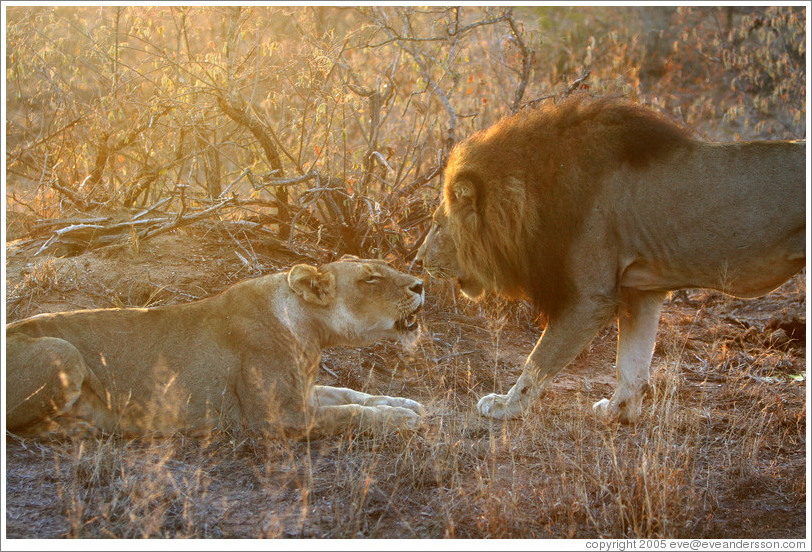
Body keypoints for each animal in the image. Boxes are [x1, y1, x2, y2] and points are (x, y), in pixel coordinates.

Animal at [6, 257, 426, 436]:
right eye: (370, 279)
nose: (421, 284)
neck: (310, 328)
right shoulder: (276, 417)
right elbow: (351, 413)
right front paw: (399, 419)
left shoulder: (304, 392)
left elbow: (352, 394)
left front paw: (407, 404)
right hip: (63, 352)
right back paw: (77, 429)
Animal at [416, 94, 805, 424]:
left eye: (437, 225)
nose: (418, 261)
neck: (533, 193)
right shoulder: (641, 291)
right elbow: (632, 364)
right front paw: (618, 412)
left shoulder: (591, 298)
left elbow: (539, 359)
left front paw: (506, 406)